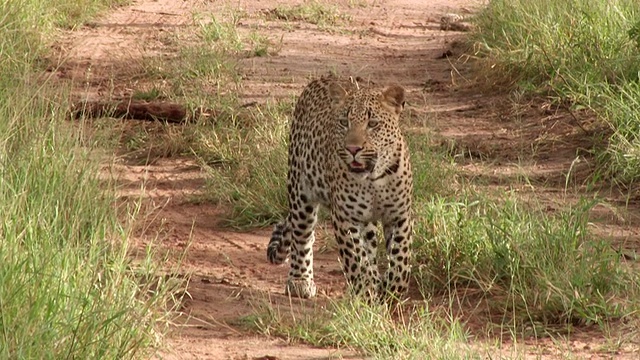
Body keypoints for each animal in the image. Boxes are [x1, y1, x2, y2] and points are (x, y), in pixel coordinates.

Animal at [266, 76, 412, 300]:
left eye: (373, 124)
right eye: (344, 123)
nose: (352, 149)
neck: (373, 180)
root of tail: (322, 78)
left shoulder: (400, 215)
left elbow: (400, 260)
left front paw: (391, 290)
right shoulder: (345, 217)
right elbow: (356, 258)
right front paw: (365, 291)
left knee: (370, 244)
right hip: (300, 191)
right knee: (302, 235)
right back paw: (300, 280)